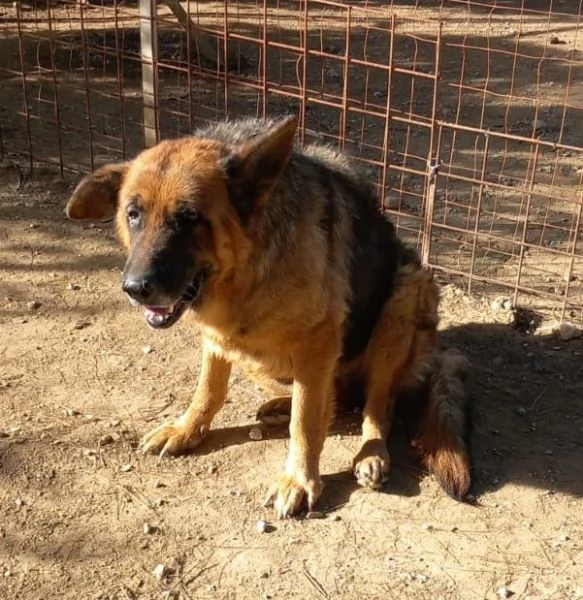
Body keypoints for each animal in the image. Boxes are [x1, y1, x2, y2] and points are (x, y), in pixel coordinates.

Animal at [66, 116, 472, 516]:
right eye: (133, 215)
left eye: (189, 217)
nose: (135, 288)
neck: (246, 270)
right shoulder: (218, 336)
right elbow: (209, 389)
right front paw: (187, 429)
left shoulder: (318, 340)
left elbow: (305, 424)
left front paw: (299, 480)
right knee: (333, 400)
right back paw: (284, 404)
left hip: (406, 292)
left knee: (376, 406)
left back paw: (371, 452)